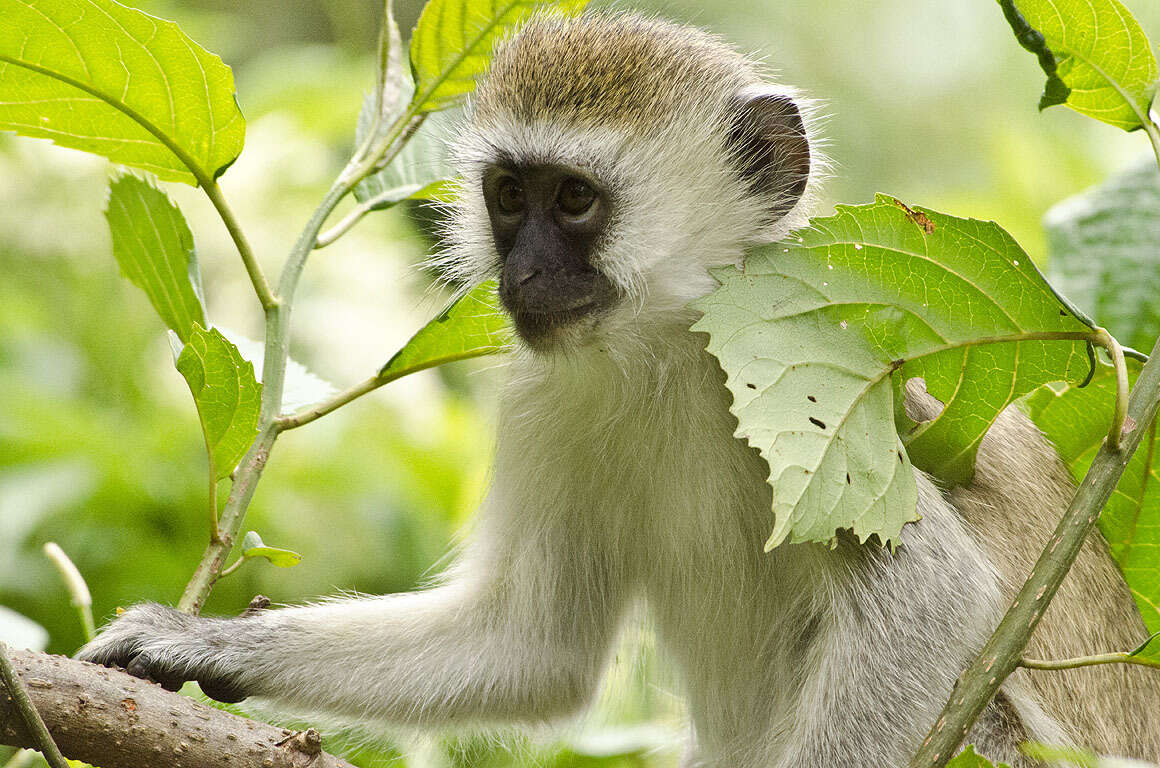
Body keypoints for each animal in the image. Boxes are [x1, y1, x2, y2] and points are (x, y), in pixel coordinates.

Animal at [79, 13, 1160, 768]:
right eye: (508, 196)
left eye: (573, 200)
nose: (519, 277)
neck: (663, 356)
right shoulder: (546, 395)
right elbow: (530, 644)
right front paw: (196, 644)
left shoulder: (811, 369)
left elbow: (931, 599)